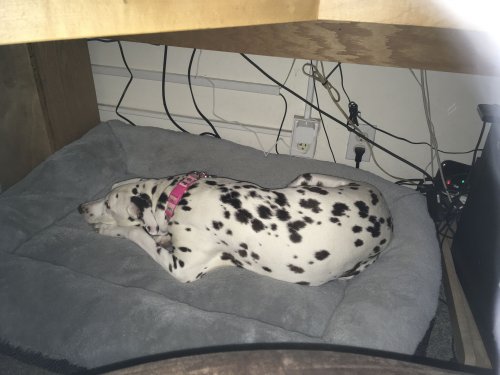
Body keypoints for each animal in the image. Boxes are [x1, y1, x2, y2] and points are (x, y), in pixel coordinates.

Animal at [78, 172, 392, 286]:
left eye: (108, 205)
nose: (81, 208)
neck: (179, 198)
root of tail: (388, 222)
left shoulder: (182, 268)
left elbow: (137, 234)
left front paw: (108, 229)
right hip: (308, 179)